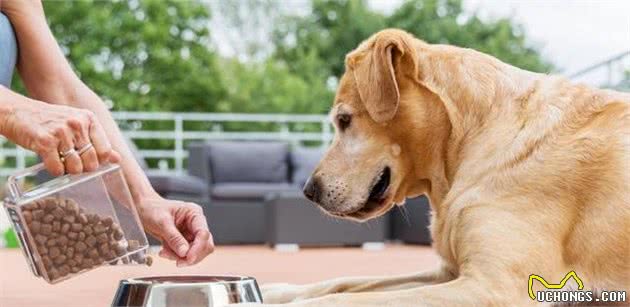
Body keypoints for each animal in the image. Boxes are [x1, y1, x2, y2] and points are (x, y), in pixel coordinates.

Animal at [254, 29, 628, 307]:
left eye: (344, 120)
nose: (308, 191)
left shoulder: (496, 287)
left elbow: (341, 300)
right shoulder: (447, 272)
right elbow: (343, 282)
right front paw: (273, 290)